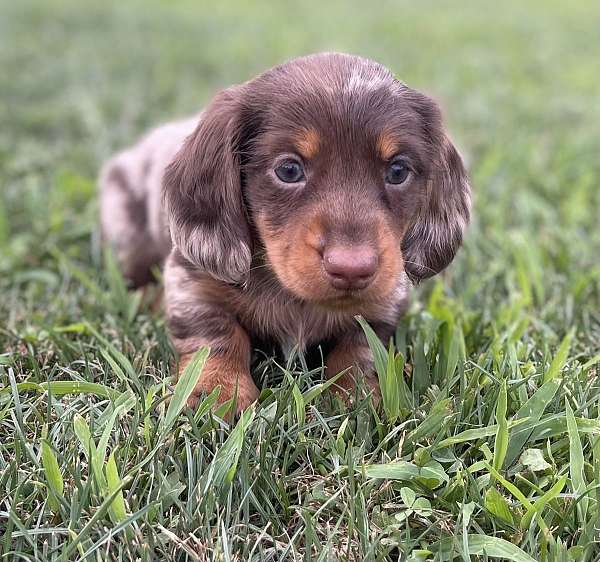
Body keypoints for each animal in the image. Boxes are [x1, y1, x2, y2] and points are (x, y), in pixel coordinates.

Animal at [99, 52, 474, 410]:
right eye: (289, 170)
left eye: (398, 171)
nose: (352, 269)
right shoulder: (193, 280)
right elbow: (216, 334)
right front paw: (217, 392)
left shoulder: (385, 300)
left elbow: (362, 345)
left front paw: (358, 394)